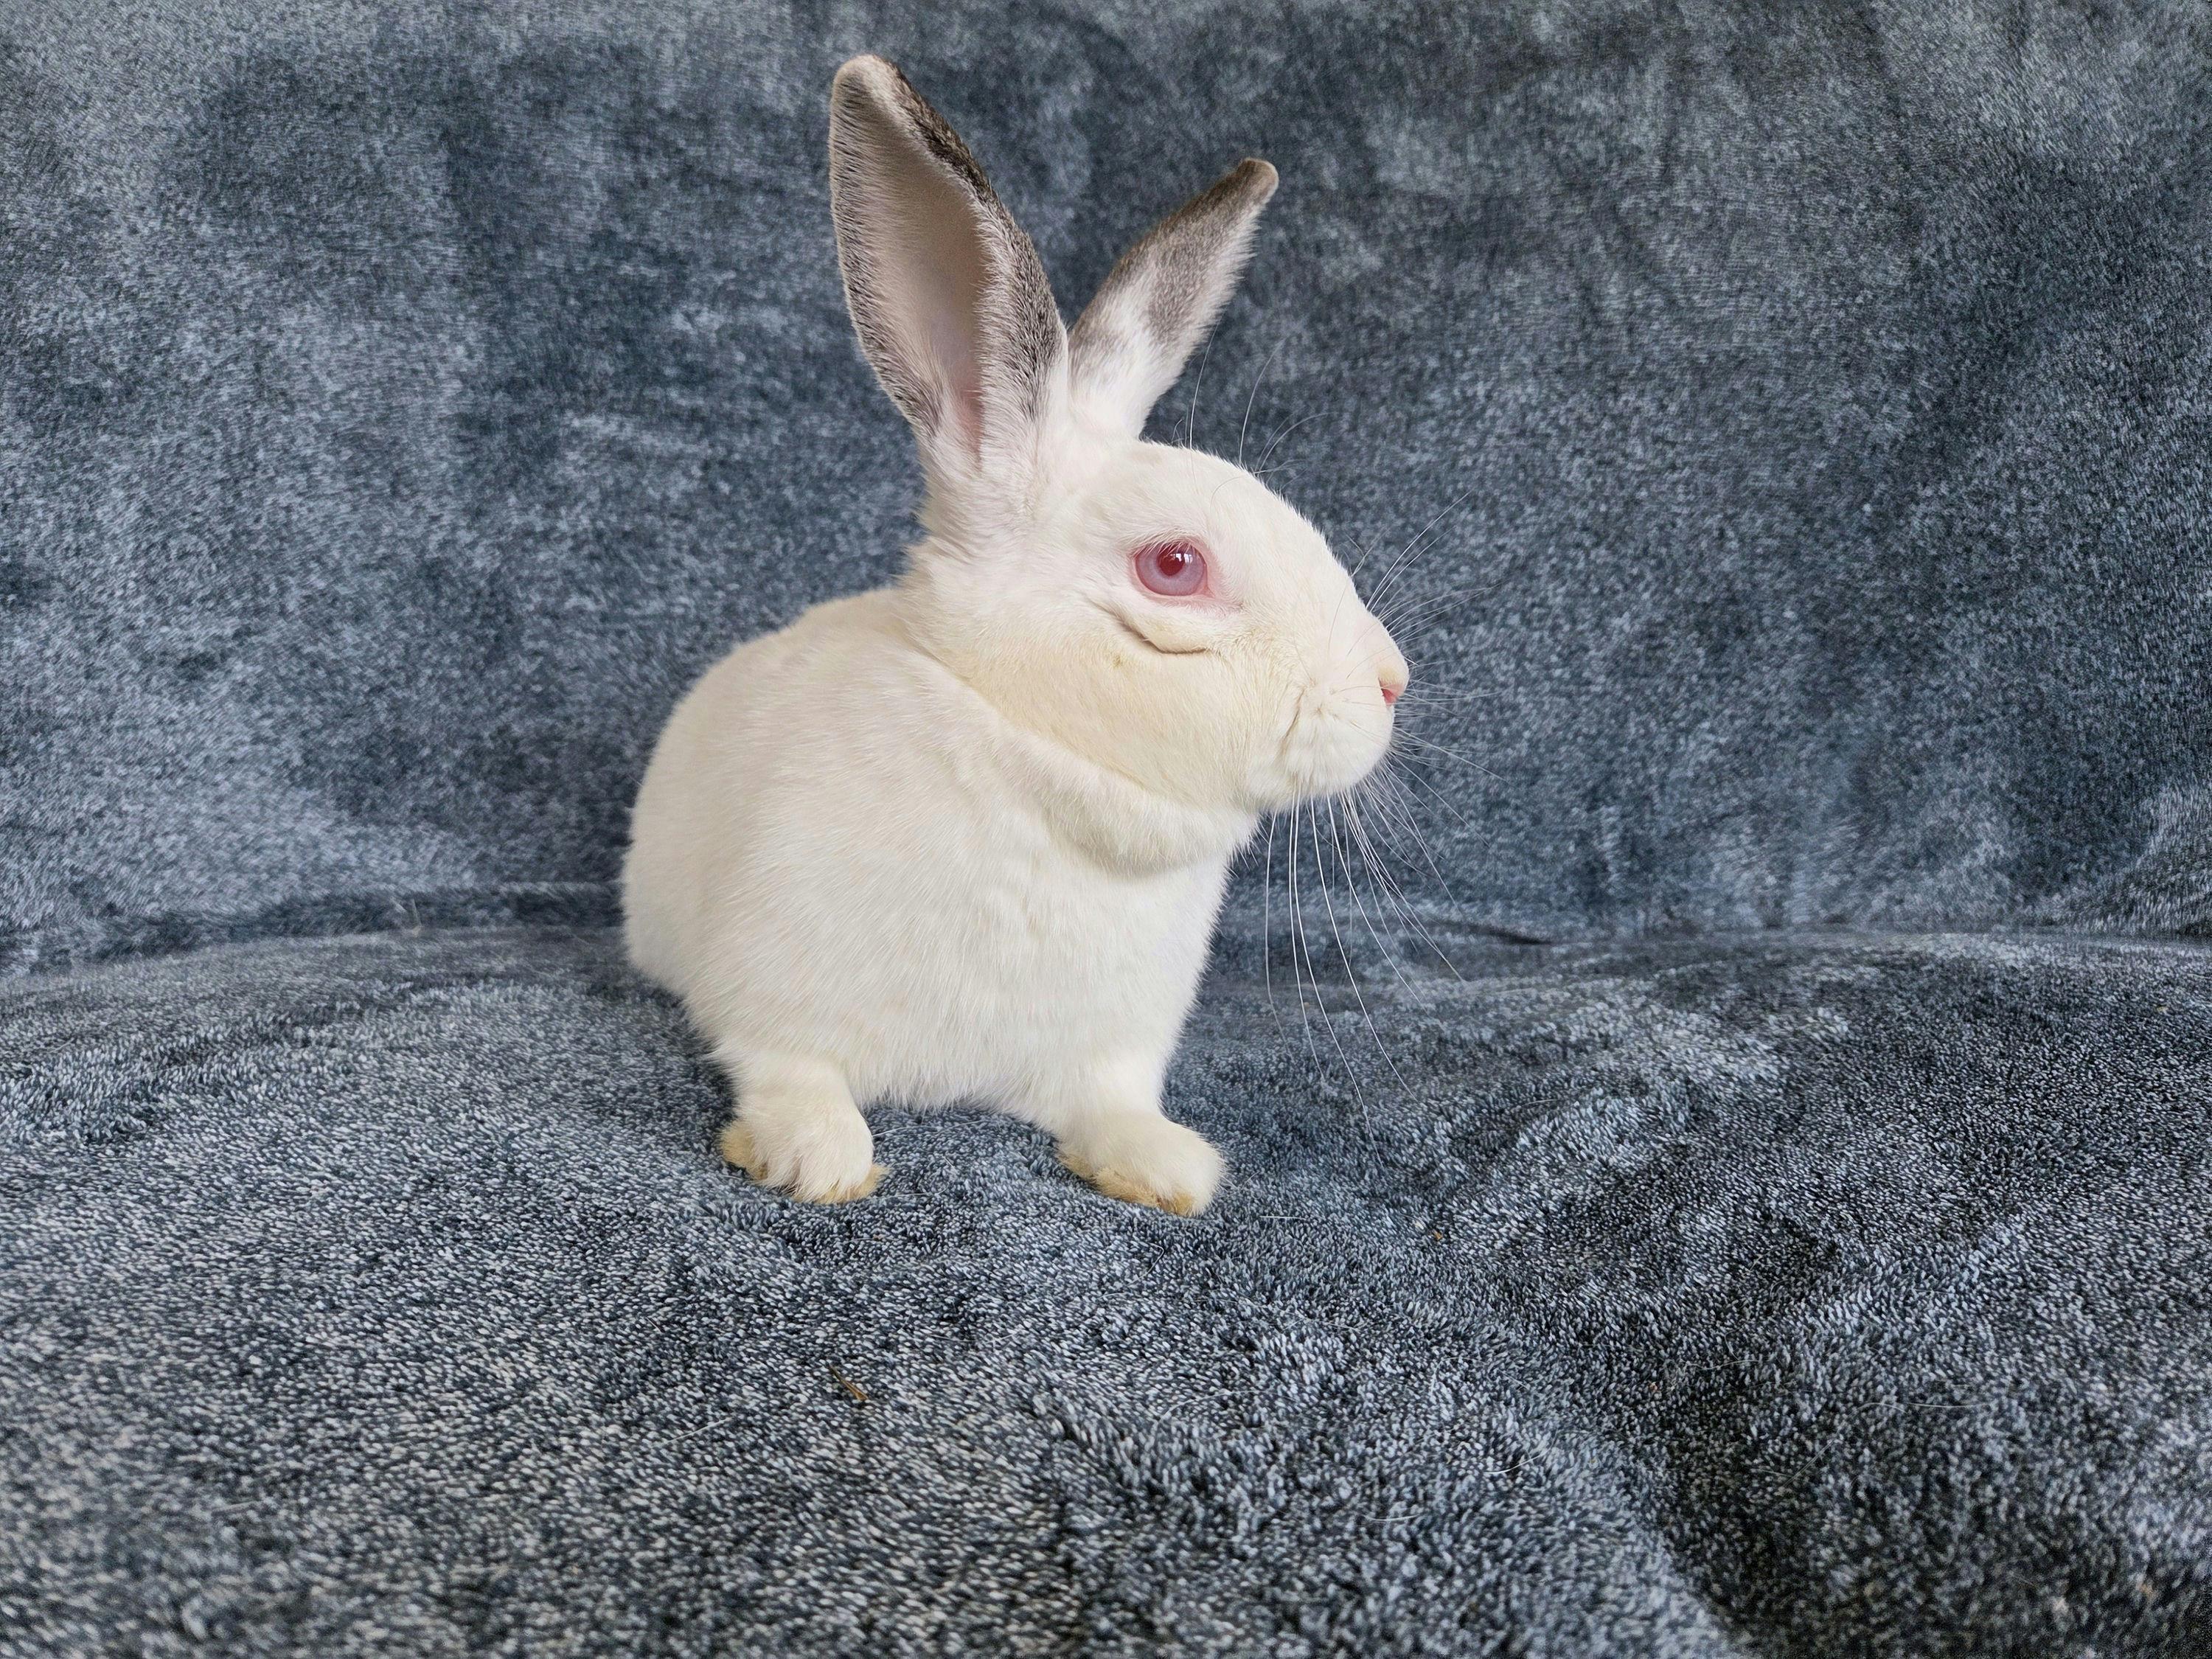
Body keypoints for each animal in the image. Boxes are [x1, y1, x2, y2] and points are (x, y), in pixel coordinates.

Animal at [623, 55, 1406, 1214]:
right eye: (1175, 567)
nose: (1393, 683)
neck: (1037, 764)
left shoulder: (1112, 1050)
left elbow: (1113, 1106)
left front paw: (1167, 1168)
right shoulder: (768, 997)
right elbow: (789, 1071)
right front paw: (817, 1160)